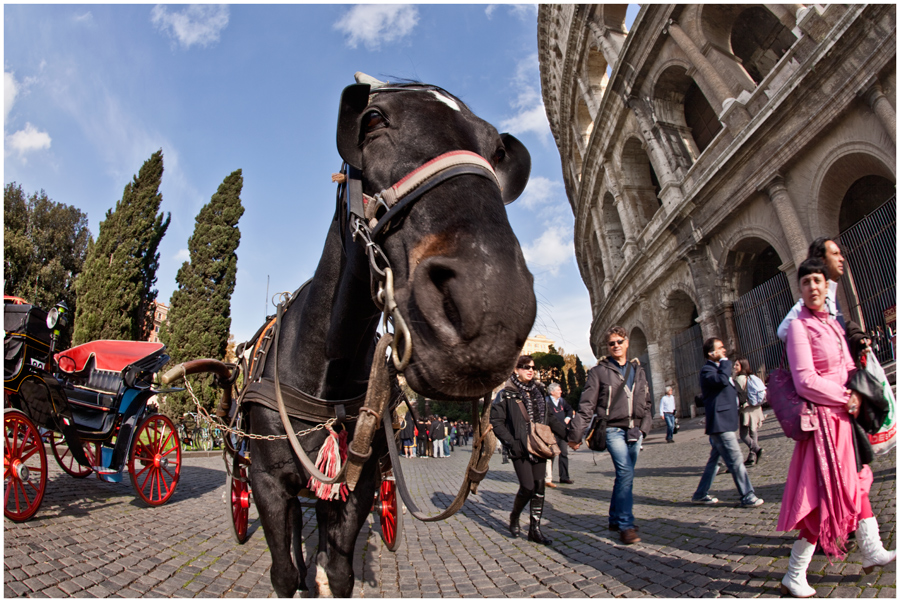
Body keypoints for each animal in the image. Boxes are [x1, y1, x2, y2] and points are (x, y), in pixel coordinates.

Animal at [243, 72, 536, 592]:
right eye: (373, 119)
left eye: (496, 149)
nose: (492, 300)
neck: (324, 371)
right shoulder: (267, 482)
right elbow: (285, 572)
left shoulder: (353, 485)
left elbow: (337, 571)